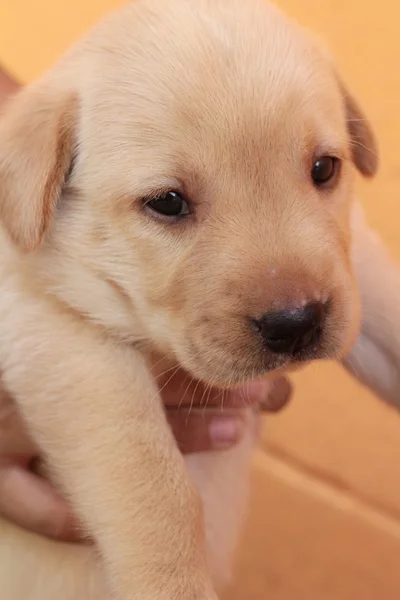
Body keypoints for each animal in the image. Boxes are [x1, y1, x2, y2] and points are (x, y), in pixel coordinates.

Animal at [0, 0, 378, 596]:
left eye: (324, 168)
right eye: (168, 202)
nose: (296, 323)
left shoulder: (350, 253)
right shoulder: (52, 333)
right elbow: (155, 488)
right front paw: (175, 583)